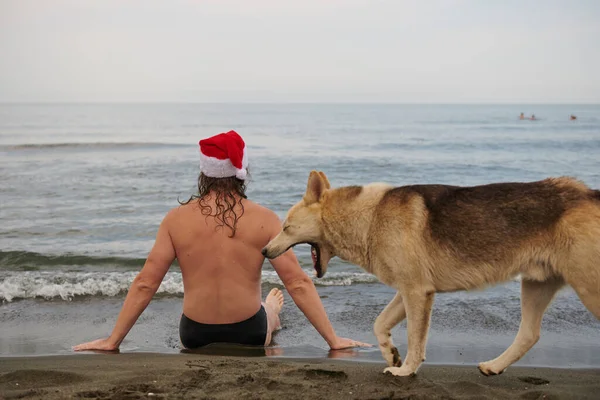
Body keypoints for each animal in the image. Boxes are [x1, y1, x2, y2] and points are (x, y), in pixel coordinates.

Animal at [264, 170, 600, 376]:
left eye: (286, 227)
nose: (265, 251)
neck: (369, 217)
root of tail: (588, 194)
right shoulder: (409, 291)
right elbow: (379, 324)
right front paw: (390, 354)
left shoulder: (417, 293)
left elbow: (415, 339)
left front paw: (405, 370)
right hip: (535, 285)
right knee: (529, 334)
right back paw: (494, 366)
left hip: (587, 288)